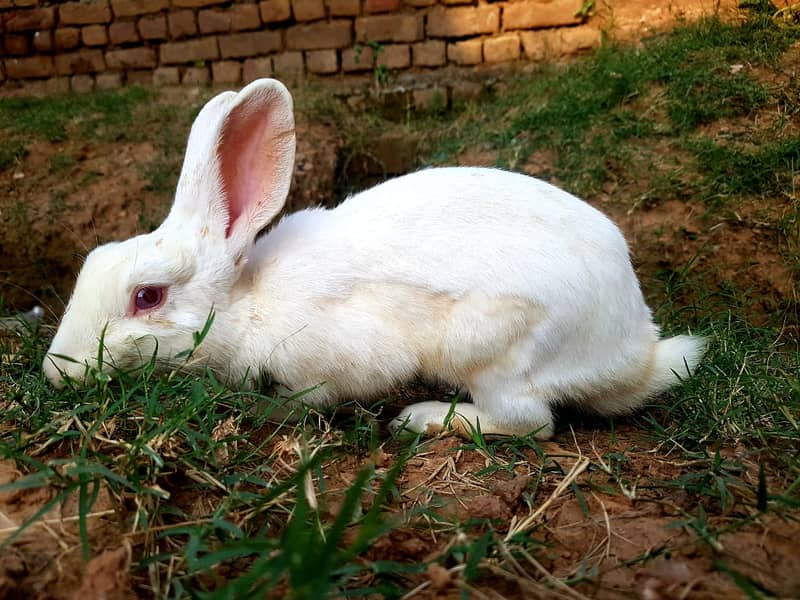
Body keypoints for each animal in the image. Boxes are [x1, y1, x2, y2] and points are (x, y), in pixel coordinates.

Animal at [45, 77, 708, 438]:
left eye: (147, 296)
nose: (57, 372)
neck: (249, 303)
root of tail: (635, 352)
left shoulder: (334, 359)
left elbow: (318, 394)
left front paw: (277, 409)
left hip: (498, 352)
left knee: (531, 424)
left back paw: (427, 419)